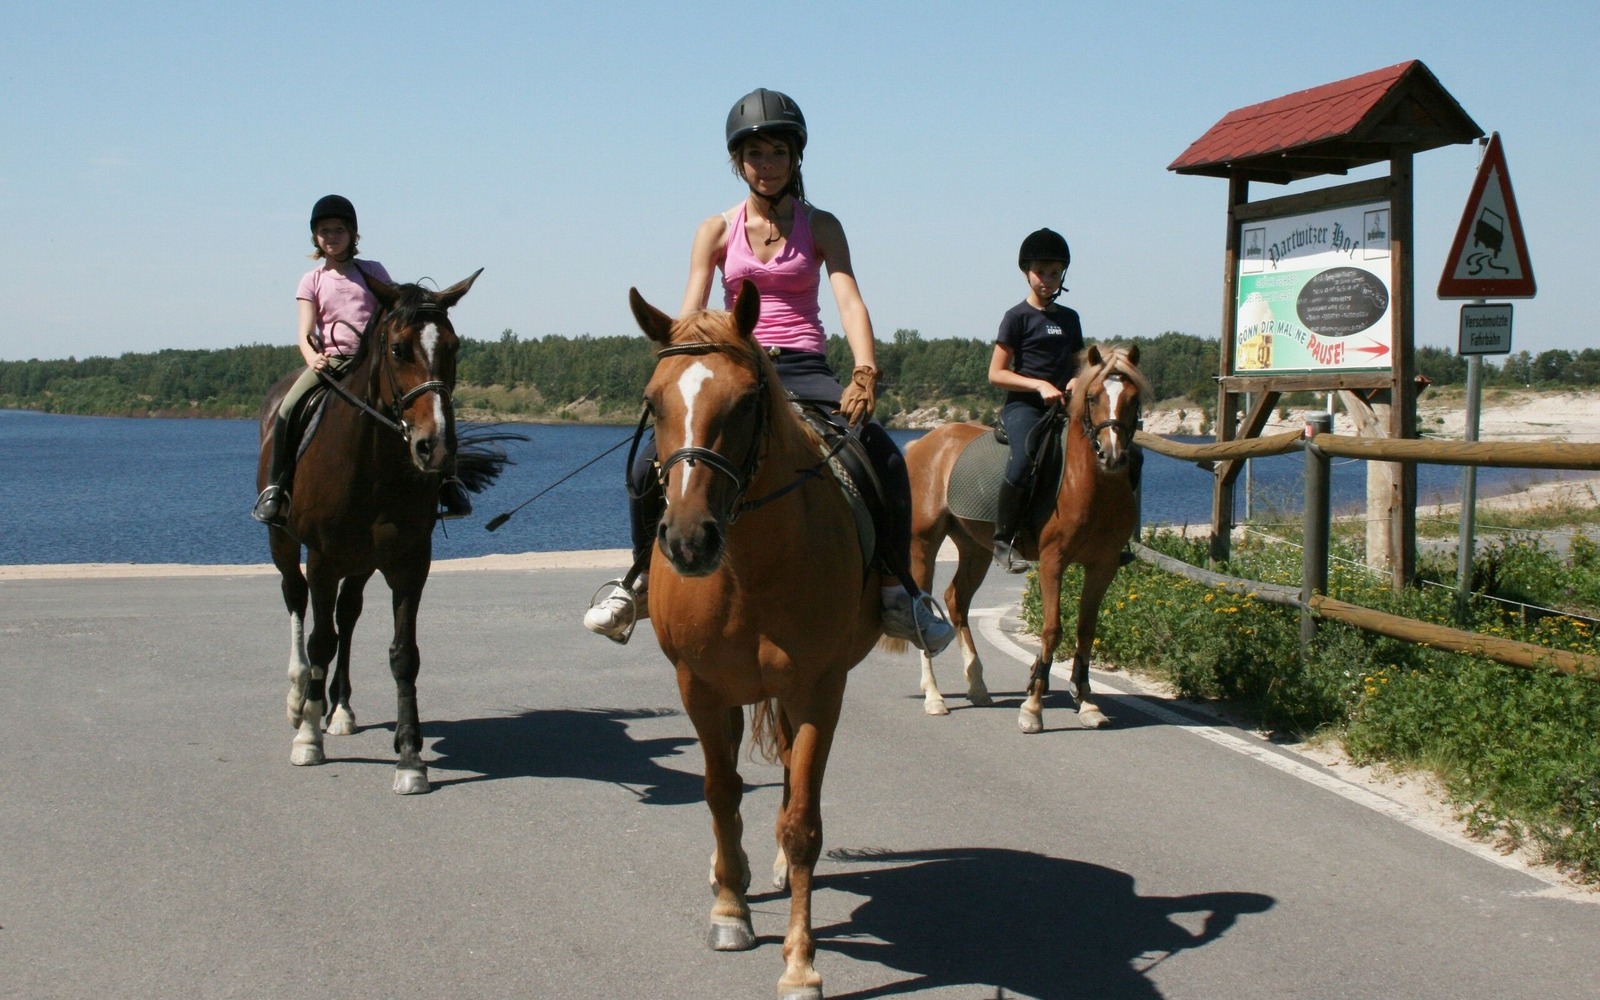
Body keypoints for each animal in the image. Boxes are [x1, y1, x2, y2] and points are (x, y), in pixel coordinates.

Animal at [257, 269, 494, 795]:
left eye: (454, 346)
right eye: (398, 349)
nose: (435, 447)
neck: (370, 459)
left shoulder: (409, 560)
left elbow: (403, 655)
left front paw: (410, 758)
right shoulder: (322, 558)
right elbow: (319, 641)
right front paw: (307, 738)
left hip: (362, 562)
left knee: (347, 617)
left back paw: (340, 708)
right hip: (285, 542)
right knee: (296, 601)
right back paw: (299, 697)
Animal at [630, 281, 881, 1000]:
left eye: (745, 402)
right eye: (654, 400)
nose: (688, 540)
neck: (752, 565)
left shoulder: (820, 690)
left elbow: (801, 823)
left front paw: (799, 962)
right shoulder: (700, 687)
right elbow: (720, 792)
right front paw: (729, 911)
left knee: (793, 787)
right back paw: (732, 872)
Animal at [905, 344, 1145, 734]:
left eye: (1133, 399)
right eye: (1093, 397)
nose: (1112, 456)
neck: (1090, 484)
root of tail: (924, 443)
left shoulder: (1103, 565)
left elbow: (1086, 630)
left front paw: (1087, 702)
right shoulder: (1052, 561)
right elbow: (1052, 629)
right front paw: (1033, 706)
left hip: (974, 547)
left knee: (956, 600)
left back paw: (978, 686)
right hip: (924, 542)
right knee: (924, 608)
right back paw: (934, 696)